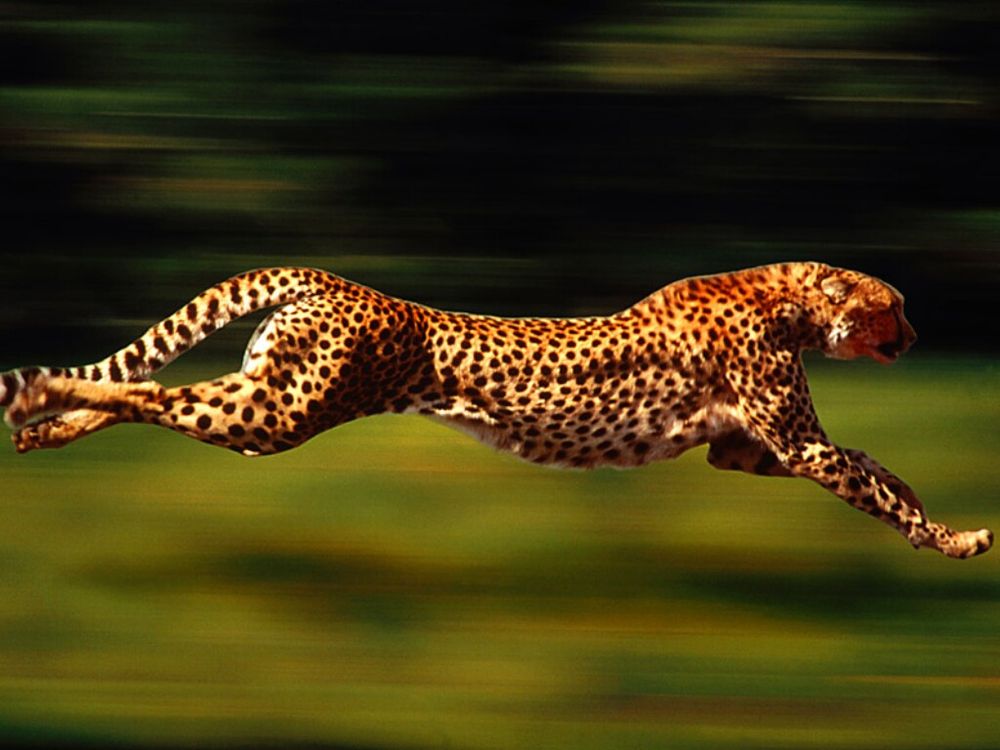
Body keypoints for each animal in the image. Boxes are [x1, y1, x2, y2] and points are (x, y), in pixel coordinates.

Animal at [0, 262, 992, 559]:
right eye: (895, 305)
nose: (915, 332)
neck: (787, 297)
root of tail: (330, 278)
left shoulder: (744, 450)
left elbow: (875, 467)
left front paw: (935, 518)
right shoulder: (792, 445)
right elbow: (870, 481)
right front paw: (952, 539)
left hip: (264, 403)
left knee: (157, 395)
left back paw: (45, 424)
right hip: (280, 414)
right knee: (150, 391)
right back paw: (44, 396)